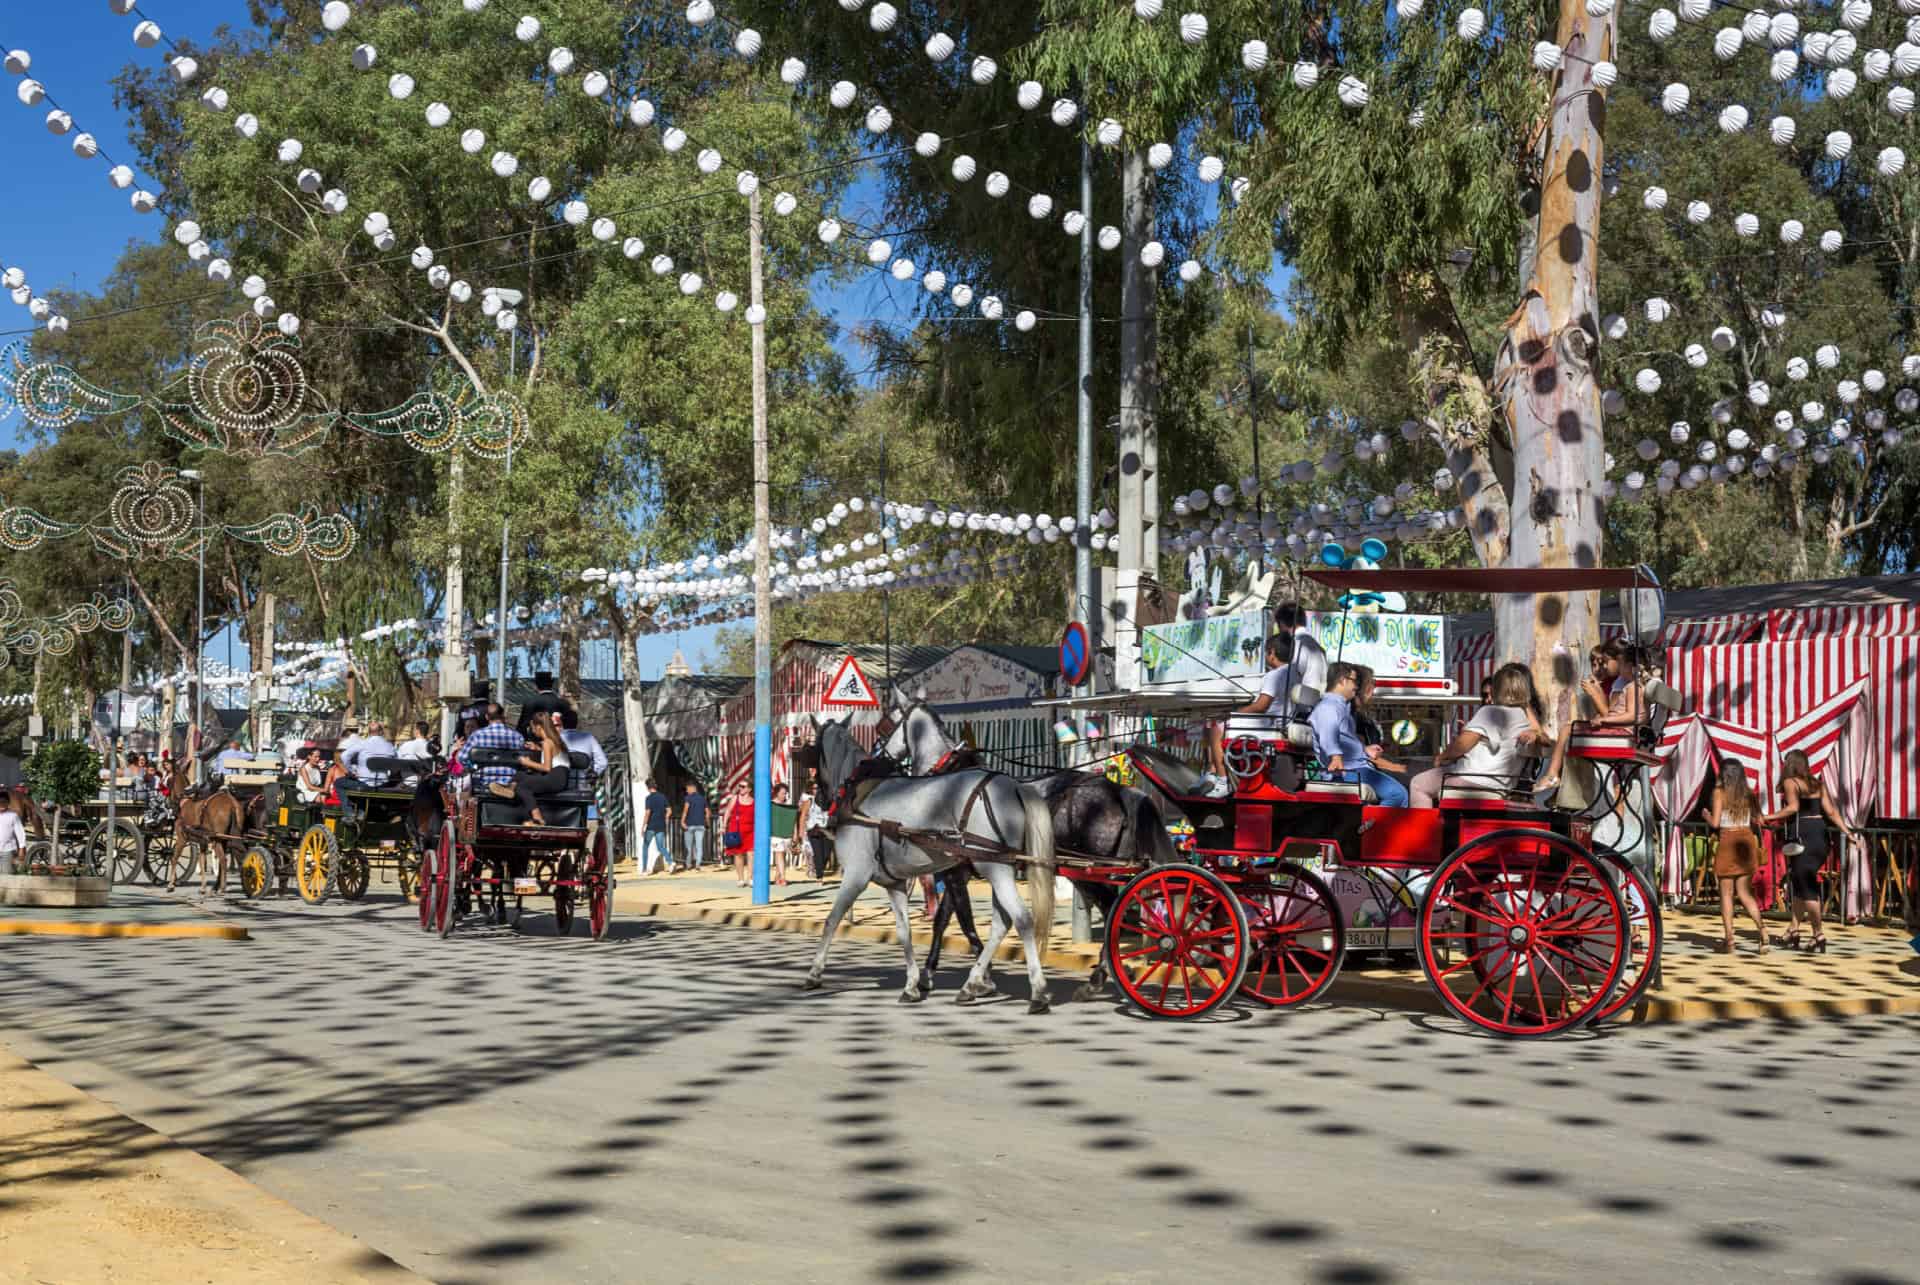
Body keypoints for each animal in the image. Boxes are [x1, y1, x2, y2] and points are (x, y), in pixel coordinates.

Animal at [167, 752, 249, 891]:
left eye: (167, 782)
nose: (170, 804)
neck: (185, 802)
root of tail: (231, 803)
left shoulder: (182, 838)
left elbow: (174, 858)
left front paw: (170, 884)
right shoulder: (202, 842)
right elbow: (201, 860)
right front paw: (203, 887)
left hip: (218, 839)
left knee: (223, 860)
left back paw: (221, 888)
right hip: (229, 837)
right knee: (239, 856)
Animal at [802, 718, 1059, 1006]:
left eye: (813, 751)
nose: (818, 799)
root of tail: (1014, 785)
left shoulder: (856, 875)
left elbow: (831, 920)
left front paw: (815, 972)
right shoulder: (896, 884)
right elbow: (904, 931)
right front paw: (912, 984)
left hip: (994, 868)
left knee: (1022, 919)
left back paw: (1036, 990)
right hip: (999, 866)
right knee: (1001, 923)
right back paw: (972, 983)